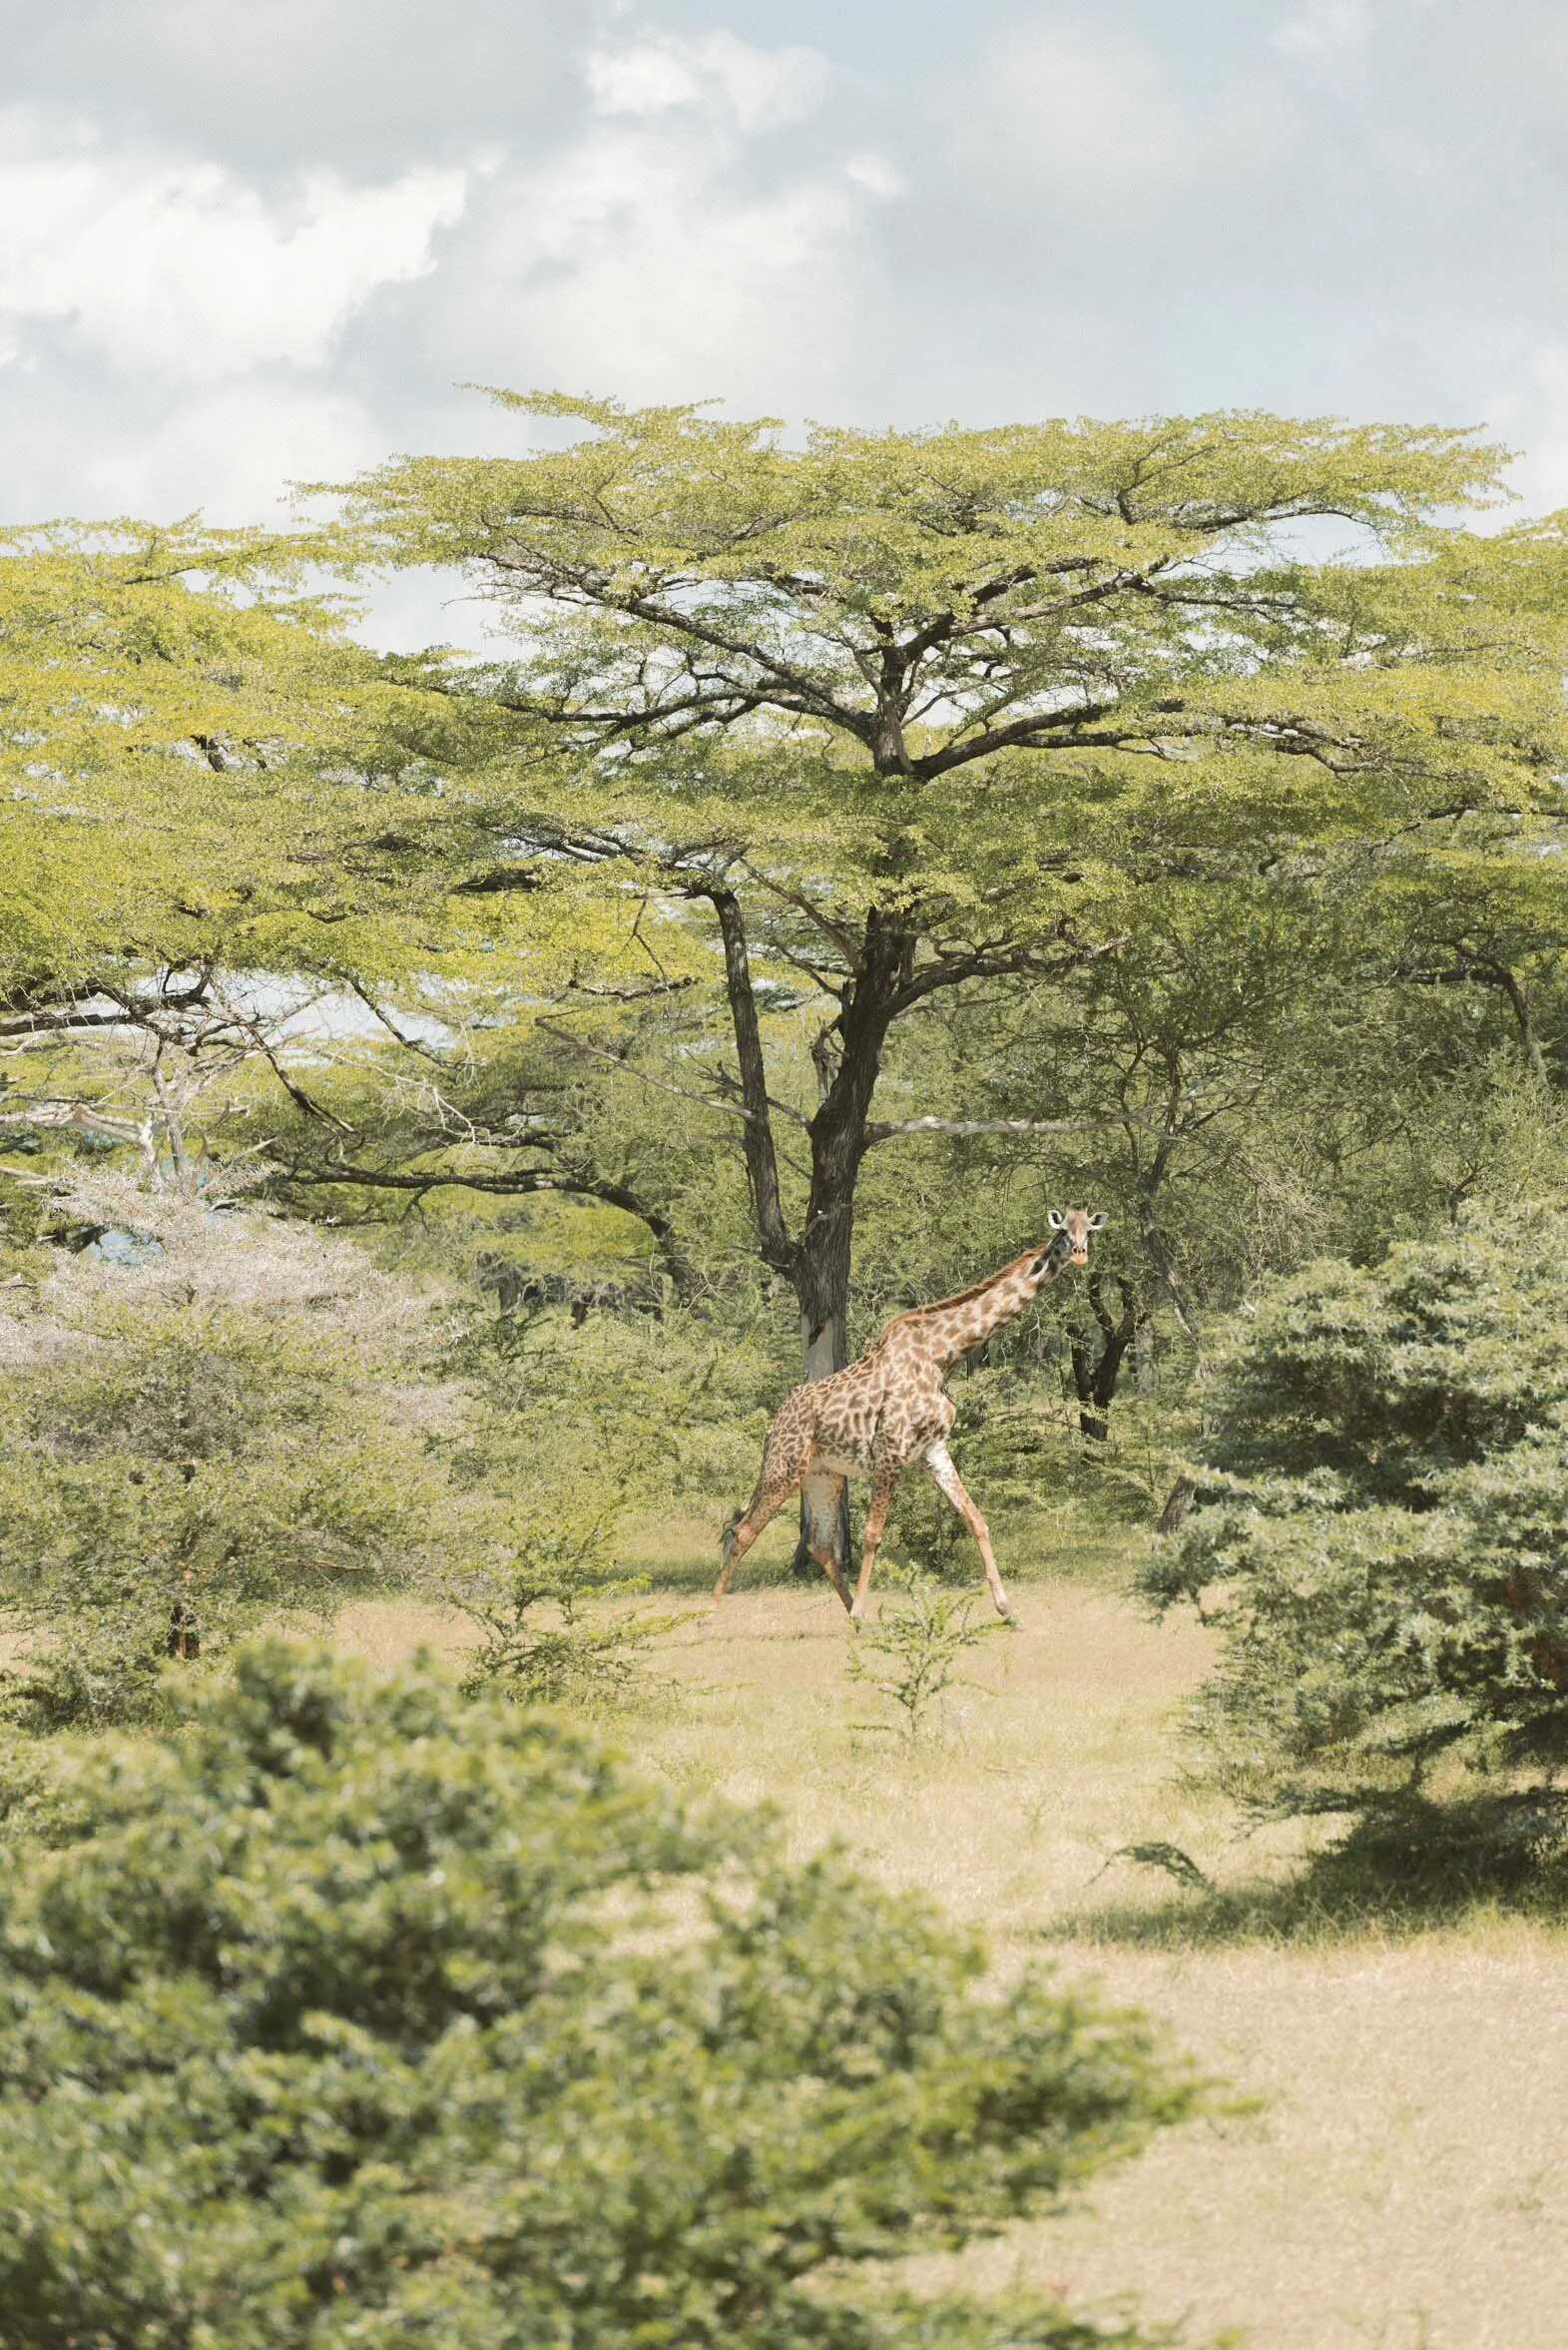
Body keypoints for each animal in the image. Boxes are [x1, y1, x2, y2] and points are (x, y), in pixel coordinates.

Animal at [715, 1208, 1107, 1621]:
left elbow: (976, 1519)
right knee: (743, 1531)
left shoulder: (933, 1449)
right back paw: (708, 1614)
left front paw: (1007, 1609)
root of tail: (773, 1424)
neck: (942, 1357)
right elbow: (873, 1534)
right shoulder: (891, 1451)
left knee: (818, 1544)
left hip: (823, 1475)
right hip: (785, 1466)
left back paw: (857, 1618)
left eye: (1089, 1231)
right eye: (1063, 1232)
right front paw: (862, 1609)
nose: (1079, 1255)